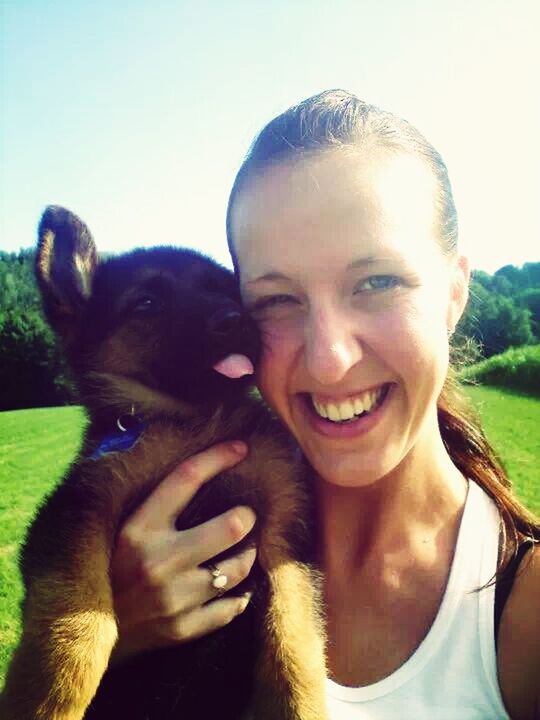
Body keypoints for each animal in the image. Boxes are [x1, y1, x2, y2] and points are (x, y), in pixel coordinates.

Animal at [0, 207, 326, 720]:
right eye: (147, 303)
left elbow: (294, 646)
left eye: (224, 289)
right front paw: (47, 701)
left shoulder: (286, 533)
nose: (235, 318)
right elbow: (76, 623)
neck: (192, 426)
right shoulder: (75, 510)